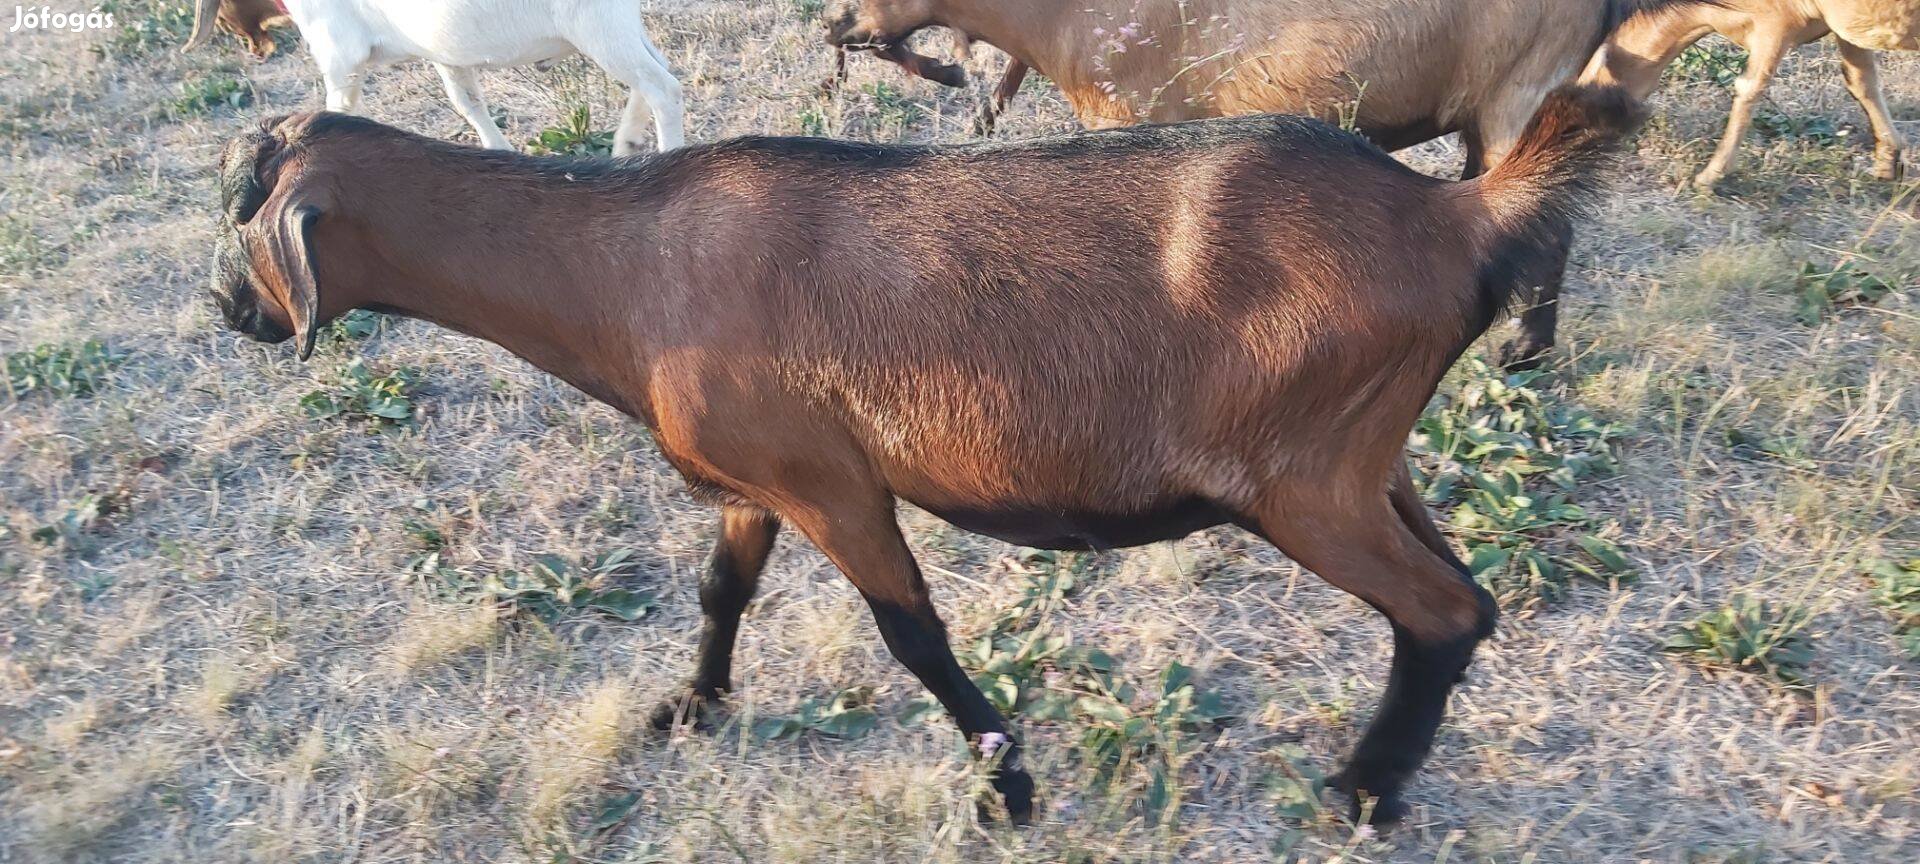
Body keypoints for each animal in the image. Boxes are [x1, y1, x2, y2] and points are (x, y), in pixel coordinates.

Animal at [187, 0, 683, 153]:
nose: (257, 52)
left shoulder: (340, 58)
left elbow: (337, 113)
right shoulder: (447, 54)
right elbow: (468, 103)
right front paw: (498, 152)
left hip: (598, 27)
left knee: (663, 87)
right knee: (654, 73)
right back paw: (626, 146)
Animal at [210, 84, 1643, 825]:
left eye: (244, 224)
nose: (229, 311)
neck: (626, 267)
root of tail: (1462, 213)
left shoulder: (835, 483)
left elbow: (912, 634)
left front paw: (1008, 787)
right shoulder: (760, 476)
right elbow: (722, 589)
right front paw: (693, 707)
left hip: (1302, 481)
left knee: (1444, 611)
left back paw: (1359, 791)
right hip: (1365, 458)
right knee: (1461, 597)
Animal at [1582, 0, 1912, 187]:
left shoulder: (1775, 25)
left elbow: (1749, 89)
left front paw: (1712, 175)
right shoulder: (1847, 28)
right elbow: (1861, 80)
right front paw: (1887, 160)